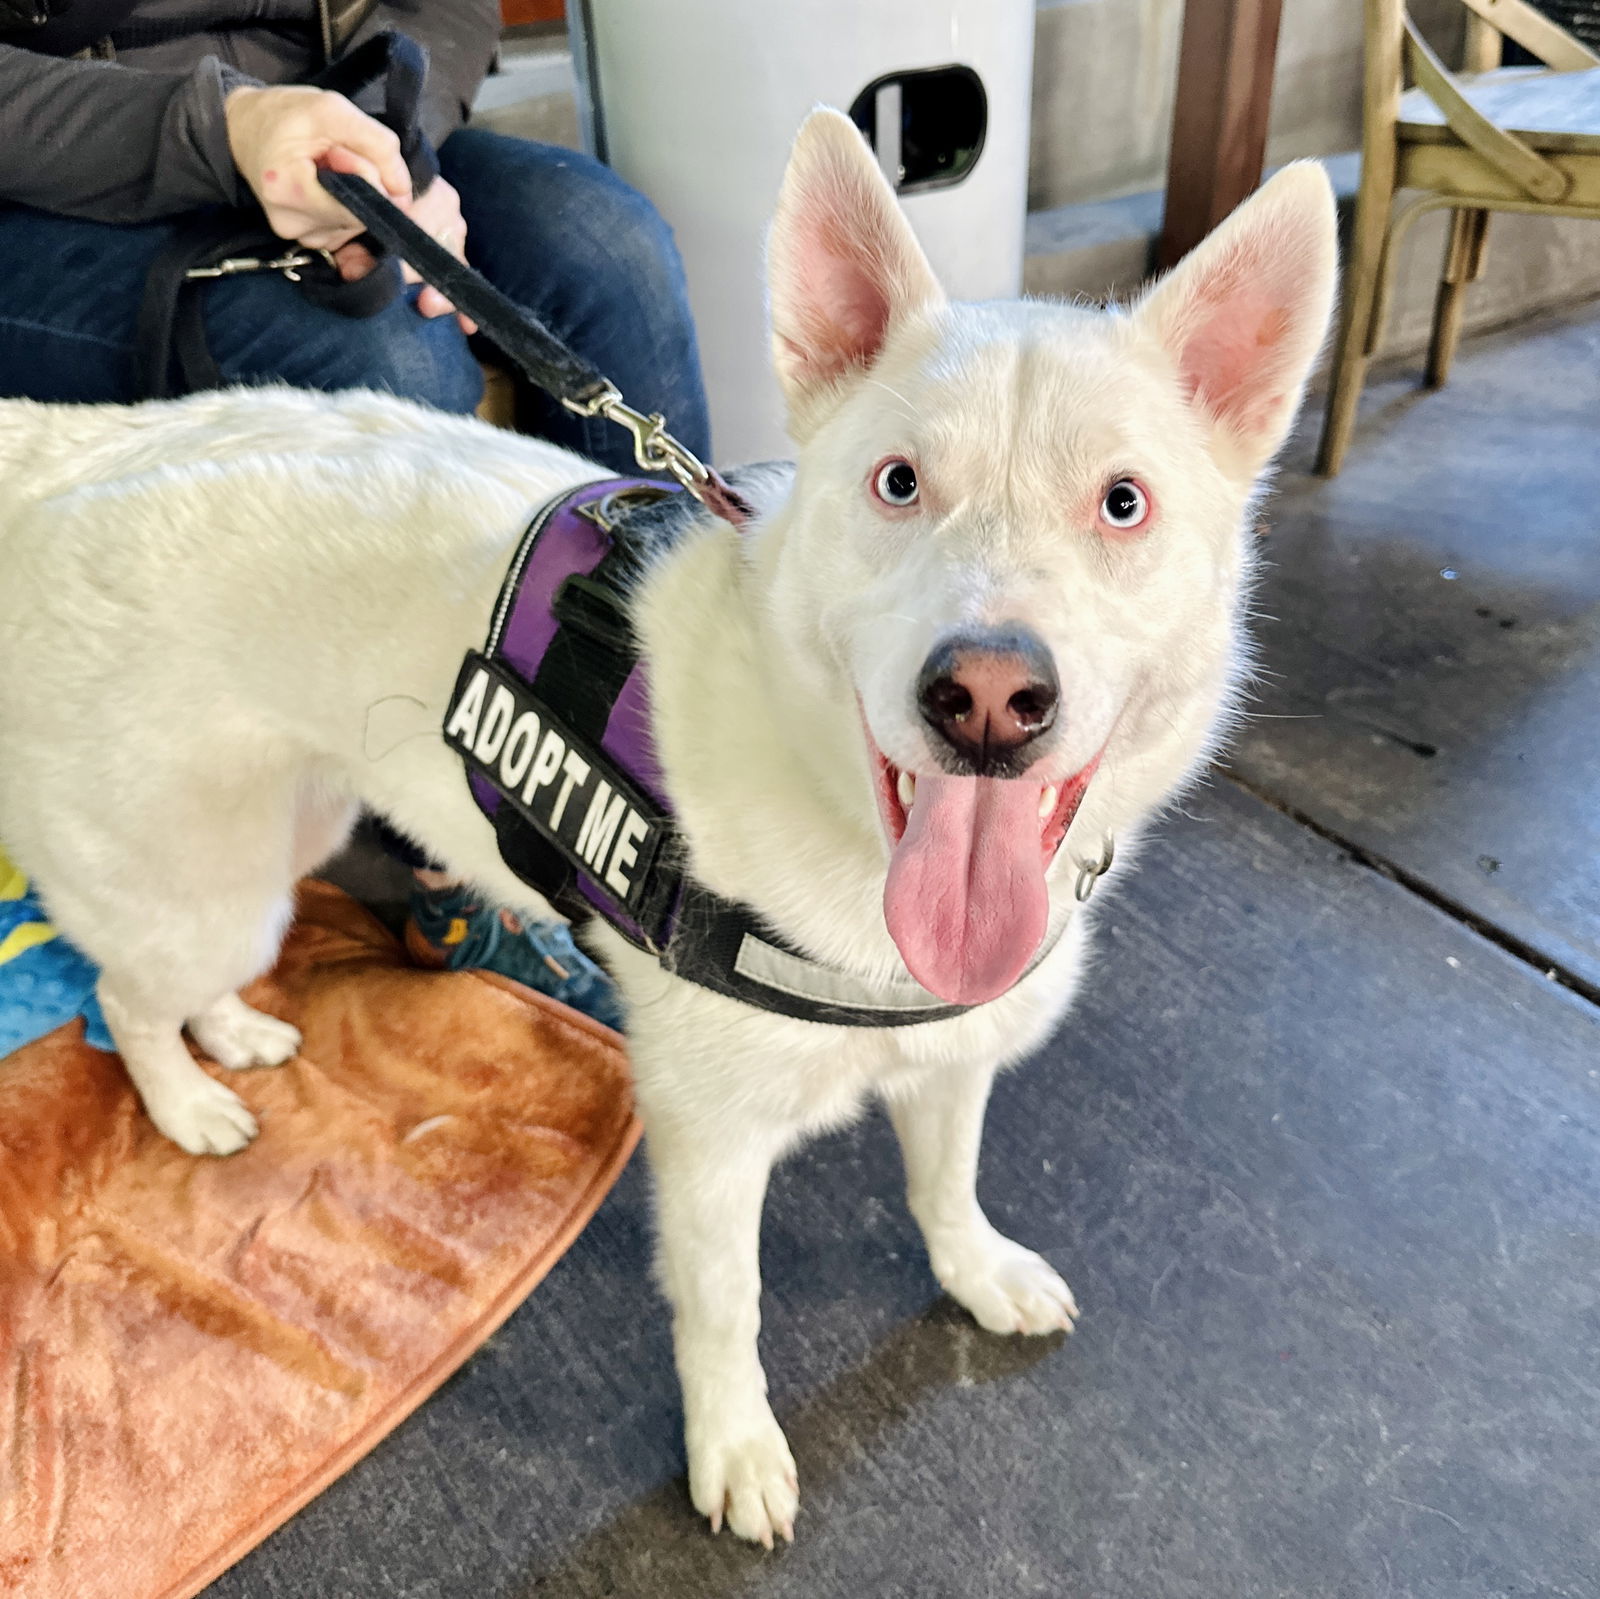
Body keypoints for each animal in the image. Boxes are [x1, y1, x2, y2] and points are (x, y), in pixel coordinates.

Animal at [0, 116, 1337, 1549]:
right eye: (899, 484)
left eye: (1122, 504)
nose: (986, 699)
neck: (848, 849)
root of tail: (69, 457)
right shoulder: (708, 1143)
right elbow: (724, 1309)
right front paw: (734, 1450)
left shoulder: (950, 1060)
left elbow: (946, 1181)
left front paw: (973, 1270)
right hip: (203, 883)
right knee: (124, 997)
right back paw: (189, 1100)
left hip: (272, 841)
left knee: (169, 978)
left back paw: (234, 1035)